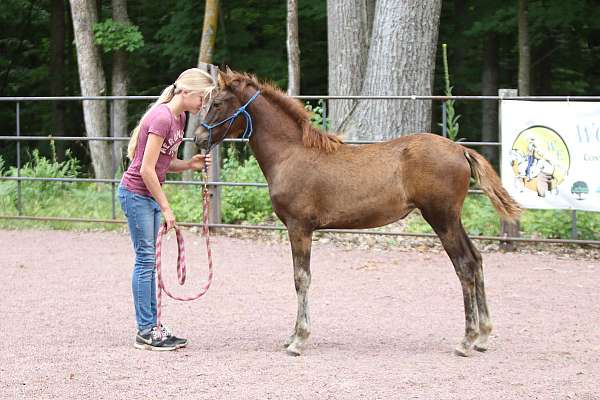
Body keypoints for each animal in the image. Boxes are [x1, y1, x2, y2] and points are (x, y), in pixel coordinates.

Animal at [193, 70, 520, 358]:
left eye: (217, 103)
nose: (197, 139)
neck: (291, 153)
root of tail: (460, 149)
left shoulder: (299, 228)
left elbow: (301, 278)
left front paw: (299, 340)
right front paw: (292, 335)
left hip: (442, 219)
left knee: (464, 266)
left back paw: (466, 341)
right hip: (451, 219)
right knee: (476, 260)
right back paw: (483, 336)